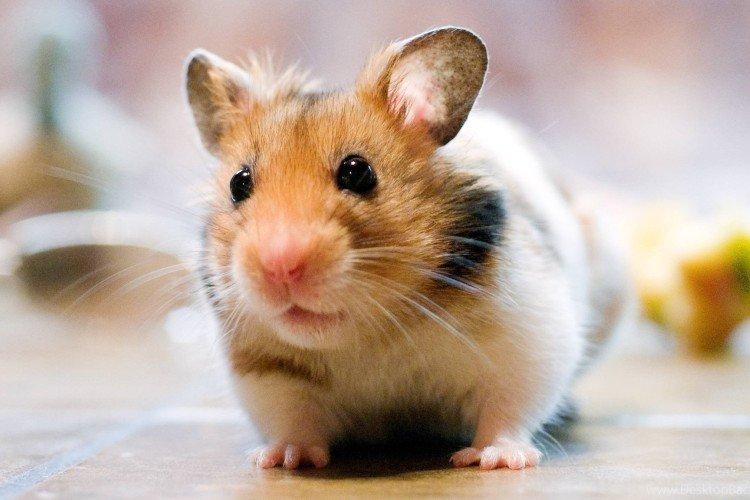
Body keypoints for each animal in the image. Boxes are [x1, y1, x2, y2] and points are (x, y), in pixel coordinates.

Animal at [184, 27, 632, 470]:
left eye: (358, 172)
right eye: (239, 183)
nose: (280, 267)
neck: (373, 334)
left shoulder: (529, 341)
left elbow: (508, 409)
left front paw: (496, 460)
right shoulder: (265, 372)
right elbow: (292, 418)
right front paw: (279, 460)